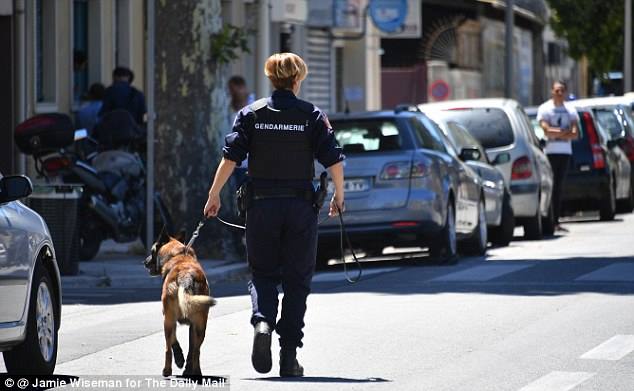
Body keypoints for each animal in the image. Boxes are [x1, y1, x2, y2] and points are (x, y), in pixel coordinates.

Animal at [143, 234, 215, 378]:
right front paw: (184, 363)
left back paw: (167, 370)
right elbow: (190, 348)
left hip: (168, 321)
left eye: (152, 251)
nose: (145, 262)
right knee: (196, 351)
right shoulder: (191, 325)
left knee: (168, 348)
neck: (179, 254)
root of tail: (185, 277)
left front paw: (179, 359)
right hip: (201, 325)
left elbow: (173, 341)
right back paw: (195, 372)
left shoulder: (168, 318)